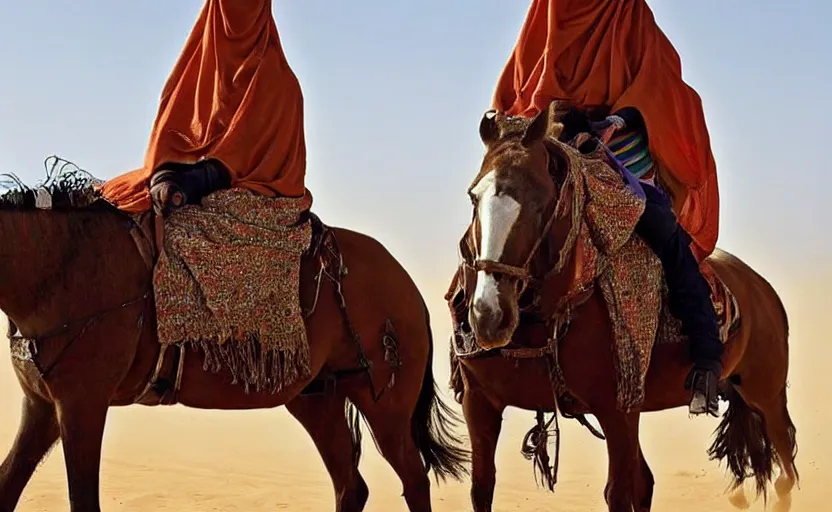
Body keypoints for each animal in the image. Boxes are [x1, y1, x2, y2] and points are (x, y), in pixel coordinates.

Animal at [0, 174, 468, 510]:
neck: (59, 269)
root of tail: (409, 288)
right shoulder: (43, 405)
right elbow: (8, 485)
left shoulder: (82, 403)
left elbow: (81, 499)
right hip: (318, 397)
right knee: (350, 485)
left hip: (384, 401)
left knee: (412, 478)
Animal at [448, 109, 800, 512]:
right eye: (473, 197)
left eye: (541, 200)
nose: (489, 315)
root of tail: (763, 289)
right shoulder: (479, 403)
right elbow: (481, 487)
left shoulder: (617, 409)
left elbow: (617, 492)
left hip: (766, 394)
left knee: (786, 472)